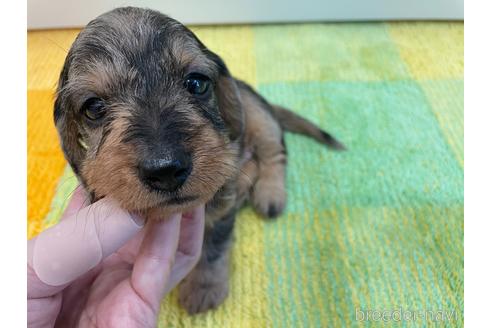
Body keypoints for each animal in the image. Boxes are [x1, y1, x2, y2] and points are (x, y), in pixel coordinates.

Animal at [53, 7, 344, 316]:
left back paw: (270, 194)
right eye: (94, 107)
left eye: (196, 83)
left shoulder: (222, 205)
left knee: (275, 152)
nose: (166, 170)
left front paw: (204, 287)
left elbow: (213, 248)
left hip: (257, 114)